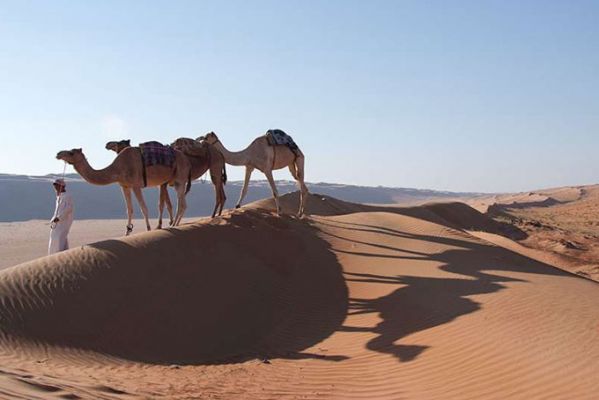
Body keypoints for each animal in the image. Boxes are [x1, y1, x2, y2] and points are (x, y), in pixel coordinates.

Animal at [57, 146, 191, 234]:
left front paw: (148, 229)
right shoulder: (124, 186)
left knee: (181, 204)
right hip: (175, 182)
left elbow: (144, 208)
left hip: (180, 179)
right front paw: (127, 232)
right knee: (183, 203)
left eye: (71, 153)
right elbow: (129, 210)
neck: (118, 168)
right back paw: (176, 224)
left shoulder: (136, 185)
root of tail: (187, 160)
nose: (58, 154)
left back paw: (174, 224)